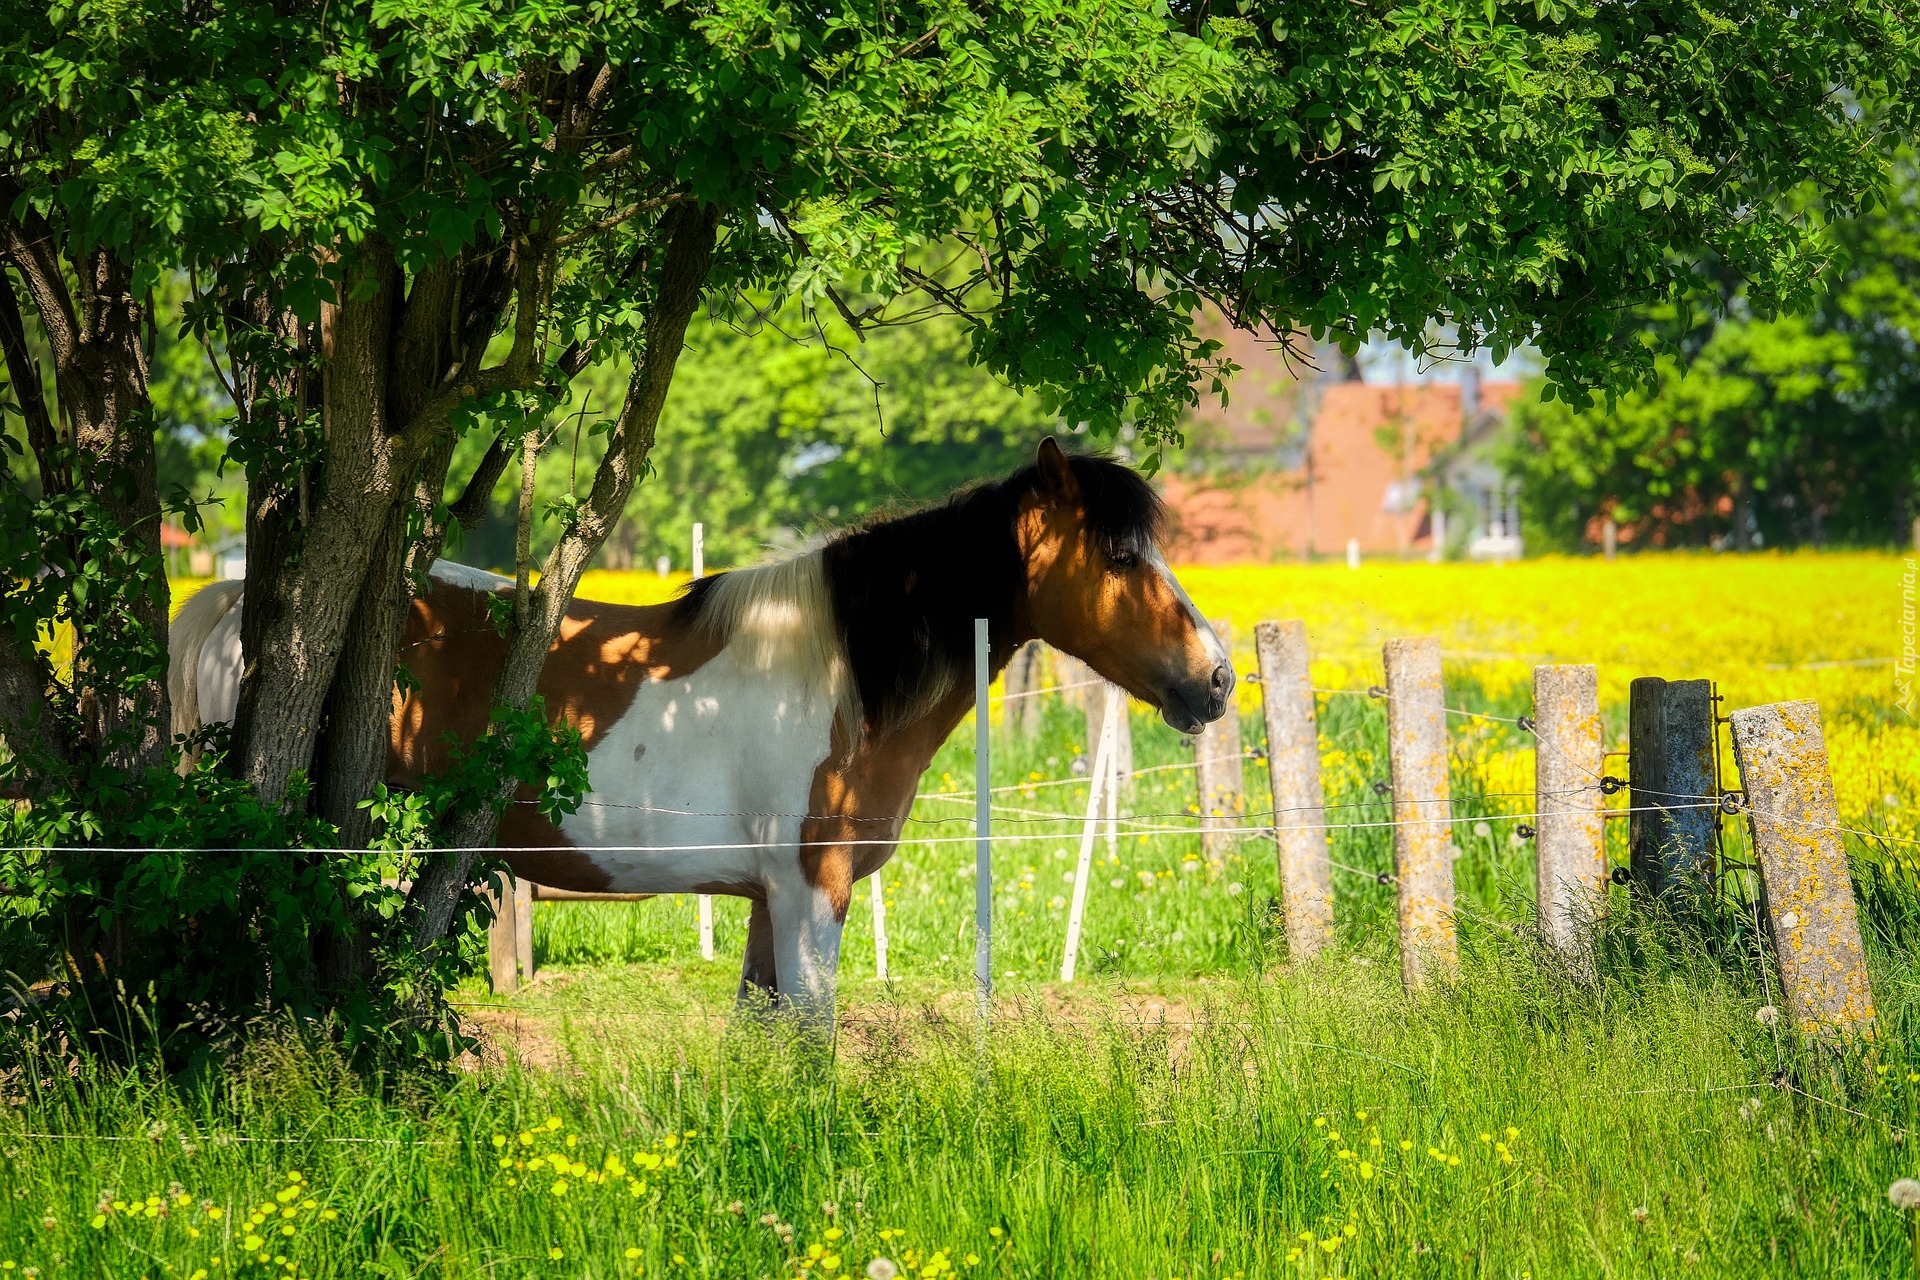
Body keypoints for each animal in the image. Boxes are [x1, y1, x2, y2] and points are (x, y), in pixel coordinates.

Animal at [168, 441, 1228, 1020]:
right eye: (1121, 554)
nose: (1214, 677)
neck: (837, 667)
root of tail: (240, 606)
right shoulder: (812, 894)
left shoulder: (767, 901)